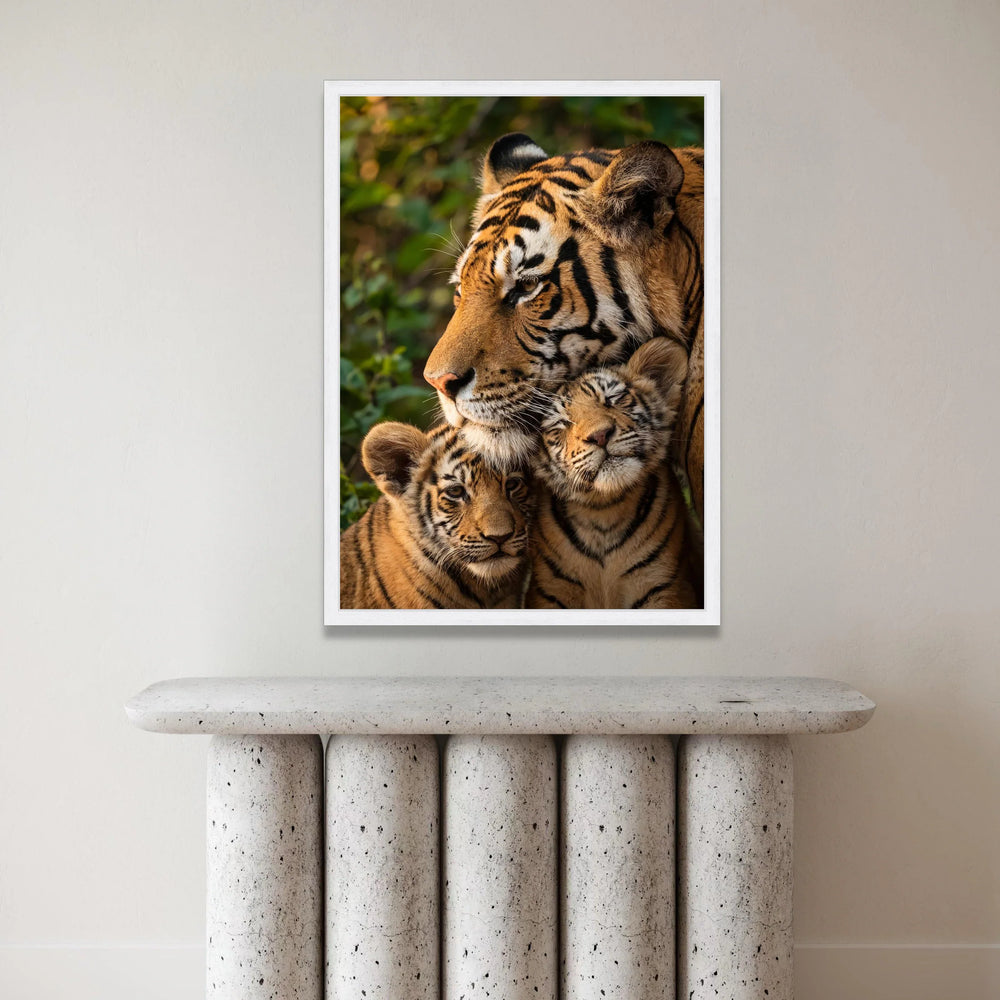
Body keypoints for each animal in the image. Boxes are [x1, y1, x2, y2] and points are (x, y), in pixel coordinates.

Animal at [526, 337, 697, 610]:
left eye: (614, 399)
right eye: (561, 424)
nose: (600, 435)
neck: (604, 511)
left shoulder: (664, 586)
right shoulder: (550, 593)